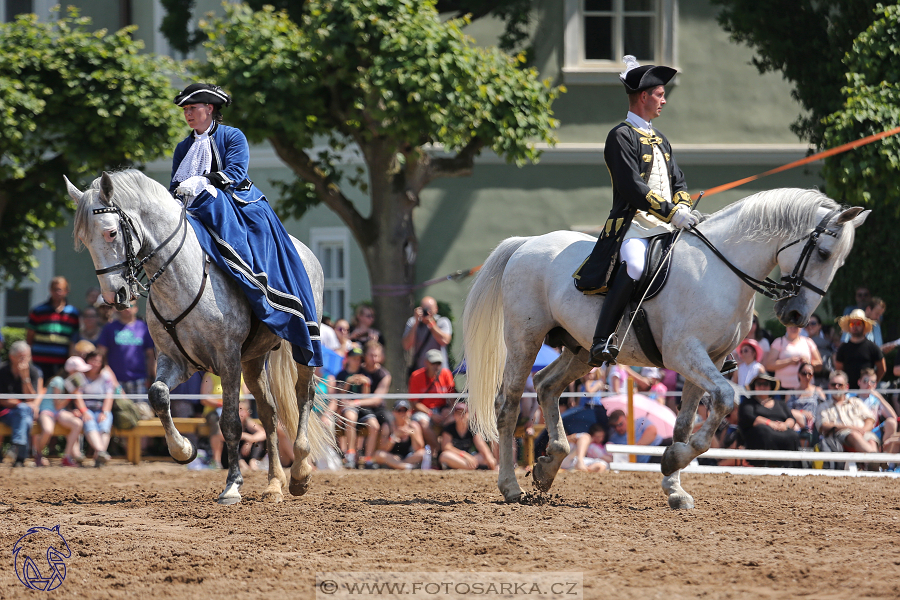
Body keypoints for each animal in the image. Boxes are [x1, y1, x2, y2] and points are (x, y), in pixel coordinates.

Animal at [68, 171, 332, 504]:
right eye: (83, 240)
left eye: (112, 233)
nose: (114, 295)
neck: (182, 278)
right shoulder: (176, 359)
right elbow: (158, 394)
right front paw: (183, 450)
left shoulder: (228, 358)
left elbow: (230, 422)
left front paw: (232, 485)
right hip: (254, 360)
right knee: (269, 413)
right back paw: (274, 485)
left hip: (303, 346)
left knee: (303, 397)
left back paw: (299, 472)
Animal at [460, 190, 868, 508]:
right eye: (824, 253)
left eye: (841, 260)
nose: (795, 314)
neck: (720, 269)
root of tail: (526, 243)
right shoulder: (683, 353)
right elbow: (726, 398)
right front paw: (673, 462)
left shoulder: (710, 358)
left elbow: (686, 422)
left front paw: (674, 482)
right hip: (524, 339)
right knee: (509, 403)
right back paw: (511, 486)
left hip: (579, 349)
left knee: (546, 385)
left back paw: (548, 466)